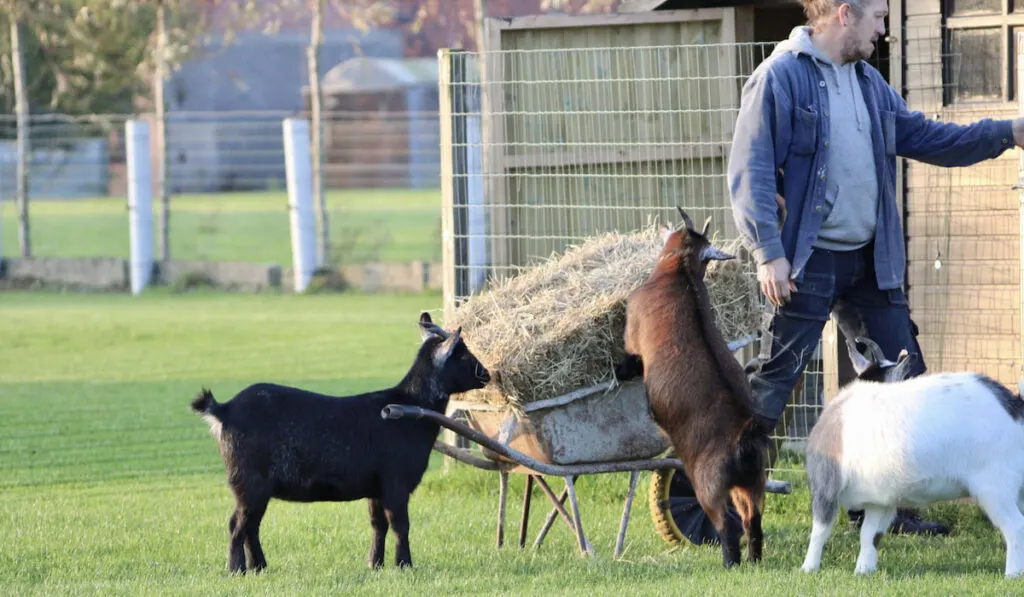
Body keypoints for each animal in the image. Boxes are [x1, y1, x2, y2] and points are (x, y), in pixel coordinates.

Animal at [193, 313, 493, 573]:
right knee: (237, 524)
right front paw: (404, 564)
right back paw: (237, 569)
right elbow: (400, 524)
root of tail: (223, 410)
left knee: (251, 525)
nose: (487, 373)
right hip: (249, 482)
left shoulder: (376, 487)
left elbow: (378, 524)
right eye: (461, 352)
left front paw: (375, 564)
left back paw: (259, 567)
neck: (409, 406)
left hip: (255, 487)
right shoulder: (395, 481)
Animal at [614, 207, 770, 569]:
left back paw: (729, 563)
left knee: (726, 526)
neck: (680, 276)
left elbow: (629, 362)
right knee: (753, 521)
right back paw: (754, 560)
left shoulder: (633, 341)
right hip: (753, 482)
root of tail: (744, 433)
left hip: (708, 486)